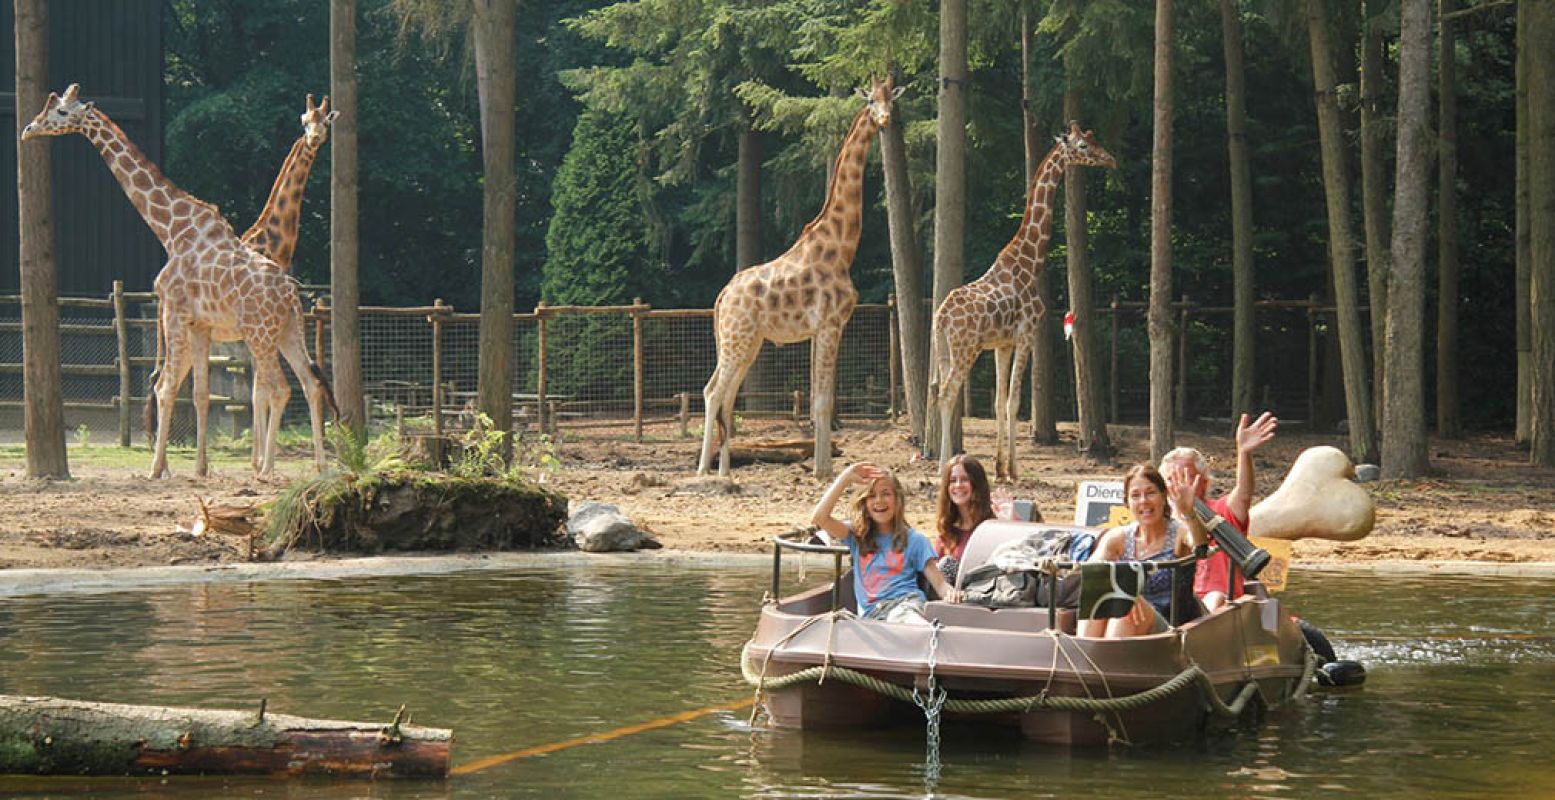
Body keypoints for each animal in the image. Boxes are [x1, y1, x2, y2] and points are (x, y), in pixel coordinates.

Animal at [19, 84, 335, 476]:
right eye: (305, 120)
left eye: (61, 112)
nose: (29, 129)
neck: (171, 229)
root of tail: (292, 294)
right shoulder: (198, 325)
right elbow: (198, 393)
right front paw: (198, 468)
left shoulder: (176, 314)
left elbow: (172, 388)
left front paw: (156, 470)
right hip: (288, 331)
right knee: (308, 384)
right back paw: (318, 466)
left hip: (258, 334)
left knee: (277, 388)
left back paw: (266, 470)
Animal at [696, 76, 901, 479]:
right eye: (870, 101)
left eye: (891, 100)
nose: (884, 119)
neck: (841, 248)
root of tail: (722, 296)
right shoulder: (830, 324)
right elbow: (821, 401)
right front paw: (824, 472)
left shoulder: (824, 328)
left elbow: (821, 399)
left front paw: (822, 467)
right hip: (737, 338)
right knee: (712, 392)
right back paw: (701, 472)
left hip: (747, 342)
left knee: (727, 396)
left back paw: (725, 472)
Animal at [926, 121, 1113, 476]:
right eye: (1083, 146)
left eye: (1095, 138)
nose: (1110, 159)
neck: (1030, 260)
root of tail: (941, 317)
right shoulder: (1028, 333)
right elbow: (1014, 402)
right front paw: (1013, 470)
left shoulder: (1003, 343)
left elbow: (1000, 402)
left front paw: (1000, 467)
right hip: (966, 349)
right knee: (947, 393)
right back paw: (944, 466)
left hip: (944, 349)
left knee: (937, 391)